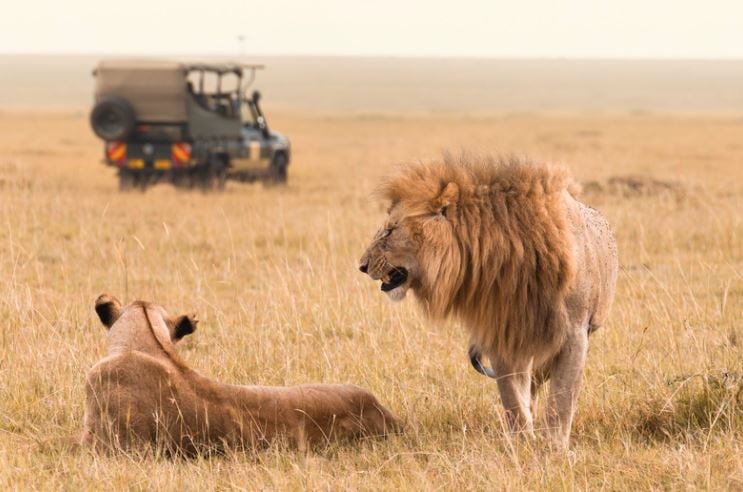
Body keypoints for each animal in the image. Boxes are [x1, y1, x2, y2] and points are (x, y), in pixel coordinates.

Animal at [359, 155, 618, 448]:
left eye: (390, 231)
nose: (362, 266)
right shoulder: (502, 333)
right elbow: (512, 396)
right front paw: (521, 441)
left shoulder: (574, 333)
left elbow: (562, 396)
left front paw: (554, 446)